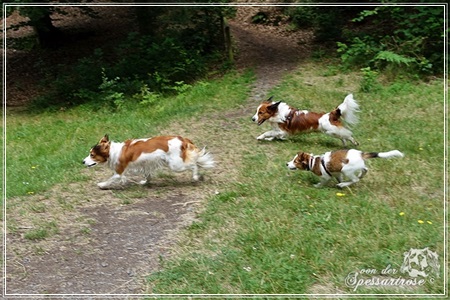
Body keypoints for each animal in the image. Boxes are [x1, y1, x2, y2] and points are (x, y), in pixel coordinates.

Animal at [83, 135, 216, 189]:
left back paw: (196, 176)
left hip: (176, 165)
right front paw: (145, 182)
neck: (112, 150)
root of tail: (182, 139)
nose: (82, 161)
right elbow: (147, 175)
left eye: (92, 155)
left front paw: (101, 185)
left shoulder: (119, 172)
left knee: (193, 164)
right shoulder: (144, 165)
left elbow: (110, 179)